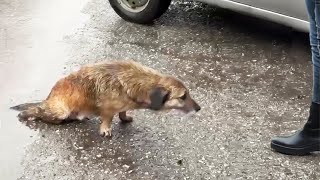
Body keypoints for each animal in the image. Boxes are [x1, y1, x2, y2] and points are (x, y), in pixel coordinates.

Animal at [10, 60, 200, 136]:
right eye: (183, 96)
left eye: (188, 93)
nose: (199, 108)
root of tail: (49, 97)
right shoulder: (108, 109)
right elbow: (107, 118)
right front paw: (106, 129)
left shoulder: (124, 105)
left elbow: (123, 112)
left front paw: (125, 118)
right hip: (59, 111)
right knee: (38, 111)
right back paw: (27, 114)